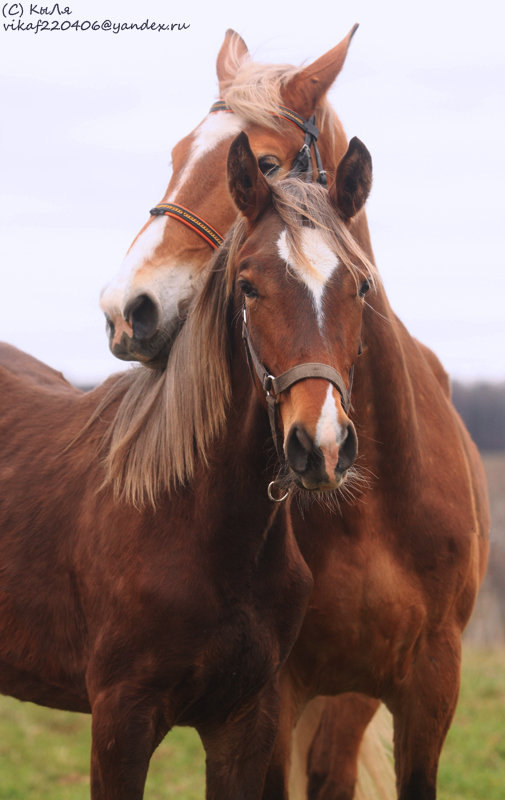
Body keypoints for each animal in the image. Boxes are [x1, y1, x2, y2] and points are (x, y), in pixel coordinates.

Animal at [0, 134, 380, 796]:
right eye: (249, 286)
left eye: (358, 286)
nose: (322, 445)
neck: (191, 521)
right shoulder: (120, 723)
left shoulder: (245, 723)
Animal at [99, 28, 488, 796]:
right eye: (175, 155)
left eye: (266, 161)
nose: (128, 310)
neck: (371, 508)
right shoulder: (277, 692)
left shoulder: (429, 686)